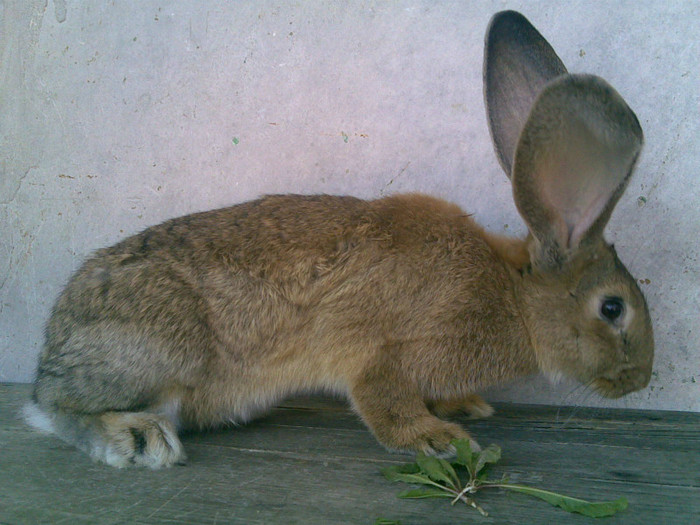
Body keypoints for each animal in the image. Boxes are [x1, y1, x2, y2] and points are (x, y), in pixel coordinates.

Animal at [24, 10, 652, 466]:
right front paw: (438, 439)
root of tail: (54, 347)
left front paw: (467, 406)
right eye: (612, 308)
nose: (641, 380)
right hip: (160, 353)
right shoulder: (384, 352)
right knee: (57, 409)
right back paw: (137, 438)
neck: (515, 294)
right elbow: (382, 399)